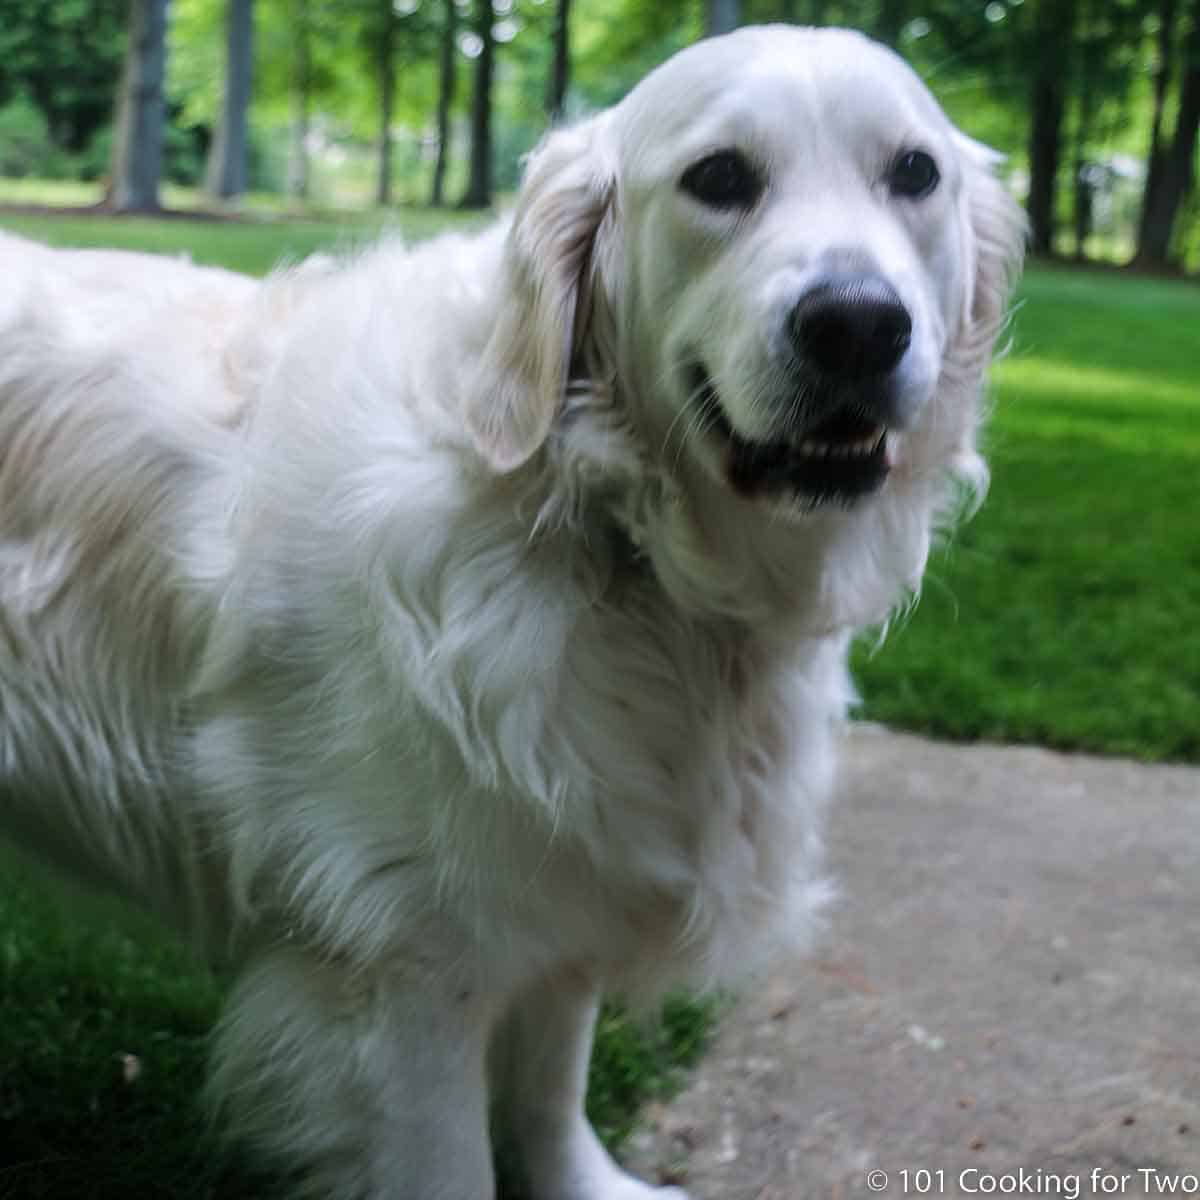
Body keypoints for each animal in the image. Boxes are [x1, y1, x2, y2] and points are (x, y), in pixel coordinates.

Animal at [0, 25, 1022, 1200]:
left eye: (915, 173)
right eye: (720, 177)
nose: (856, 325)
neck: (605, 538)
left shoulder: (574, 866)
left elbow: (552, 1080)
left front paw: (585, 1182)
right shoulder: (405, 969)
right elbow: (452, 1159)